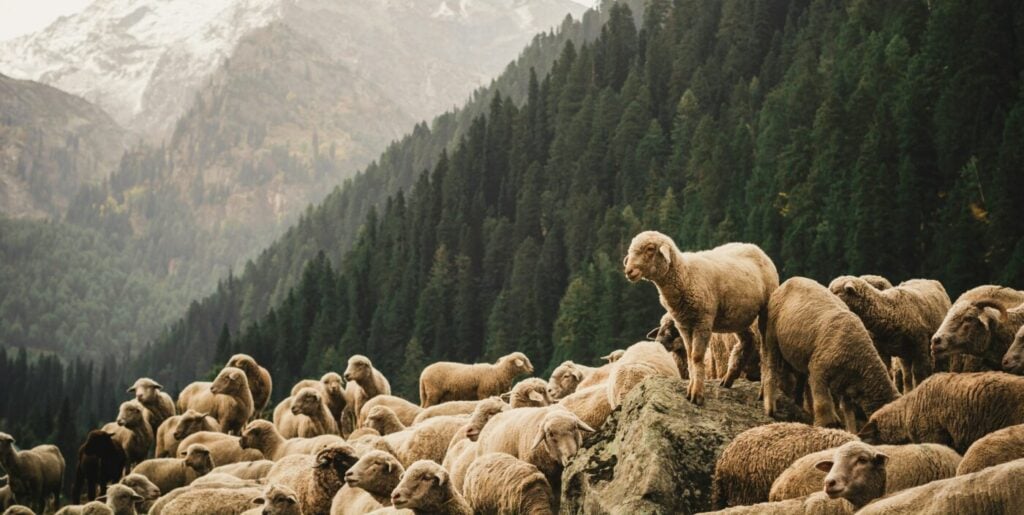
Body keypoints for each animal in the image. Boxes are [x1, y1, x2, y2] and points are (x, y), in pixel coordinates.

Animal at [623, 232, 779, 405]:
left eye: (650, 249)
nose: (629, 271)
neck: (685, 275)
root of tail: (754, 247)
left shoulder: (702, 321)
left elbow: (697, 357)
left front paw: (696, 394)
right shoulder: (684, 324)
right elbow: (690, 357)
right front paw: (691, 388)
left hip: (765, 309)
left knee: (765, 350)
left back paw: (763, 391)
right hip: (739, 317)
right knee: (748, 341)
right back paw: (728, 379)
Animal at [762, 277, 900, 430]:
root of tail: (789, 280)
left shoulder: (845, 385)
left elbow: (848, 412)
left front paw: (850, 431)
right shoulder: (818, 371)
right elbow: (823, 405)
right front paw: (822, 426)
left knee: (801, 383)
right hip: (772, 338)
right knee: (771, 368)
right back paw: (770, 407)